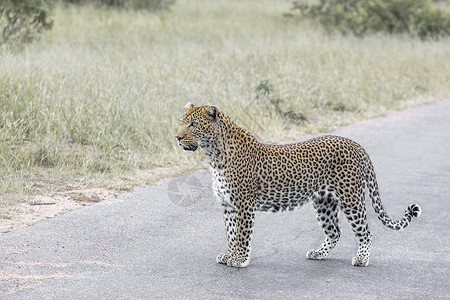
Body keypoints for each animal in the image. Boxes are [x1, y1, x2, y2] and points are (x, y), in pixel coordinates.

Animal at [175, 104, 422, 268]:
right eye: (181, 122)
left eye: (192, 124)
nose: (177, 137)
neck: (214, 154)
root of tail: (356, 145)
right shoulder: (228, 206)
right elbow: (230, 232)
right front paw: (229, 255)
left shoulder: (244, 205)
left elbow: (242, 234)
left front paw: (240, 259)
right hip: (324, 202)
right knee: (335, 231)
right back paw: (318, 253)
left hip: (350, 198)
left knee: (365, 231)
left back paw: (362, 258)